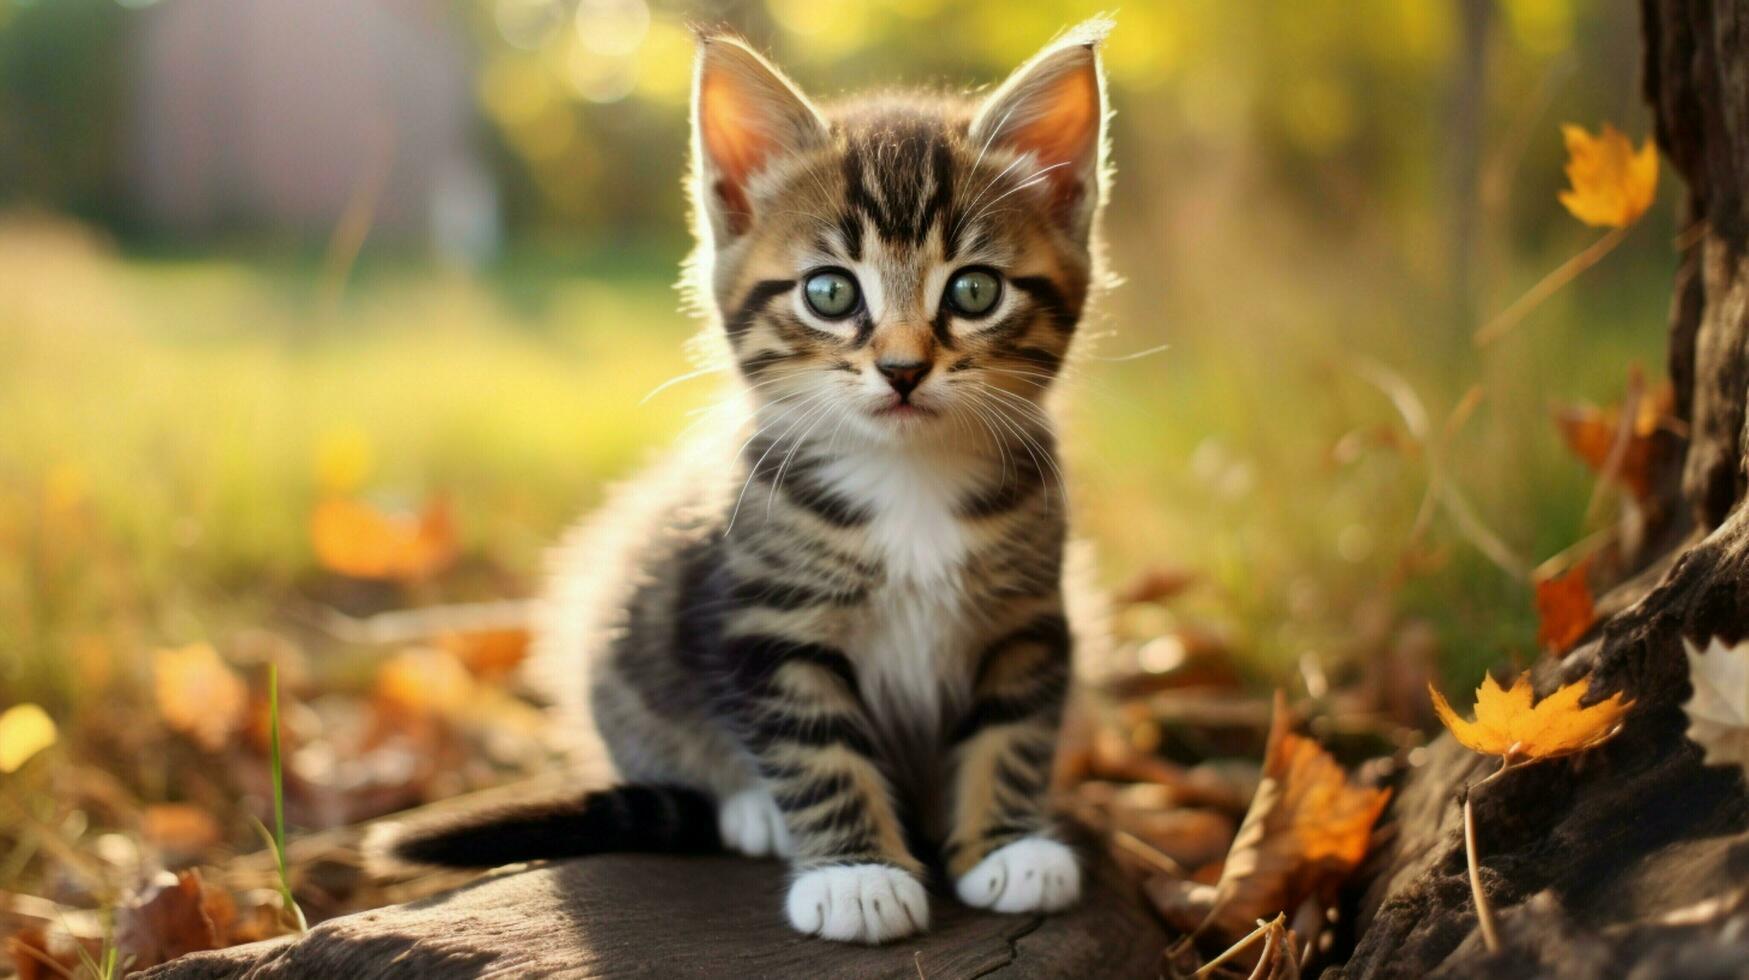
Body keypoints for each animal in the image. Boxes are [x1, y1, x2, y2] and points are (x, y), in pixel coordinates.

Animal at [370, 19, 1112, 945]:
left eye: (974, 291)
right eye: (829, 292)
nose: (903, 369)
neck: (907, 479)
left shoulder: (1028, 617)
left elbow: (1013, 730)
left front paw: (1008, 845)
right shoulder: (765, 622)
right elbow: (814, 748)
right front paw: (856, 875)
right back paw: (752, 809)